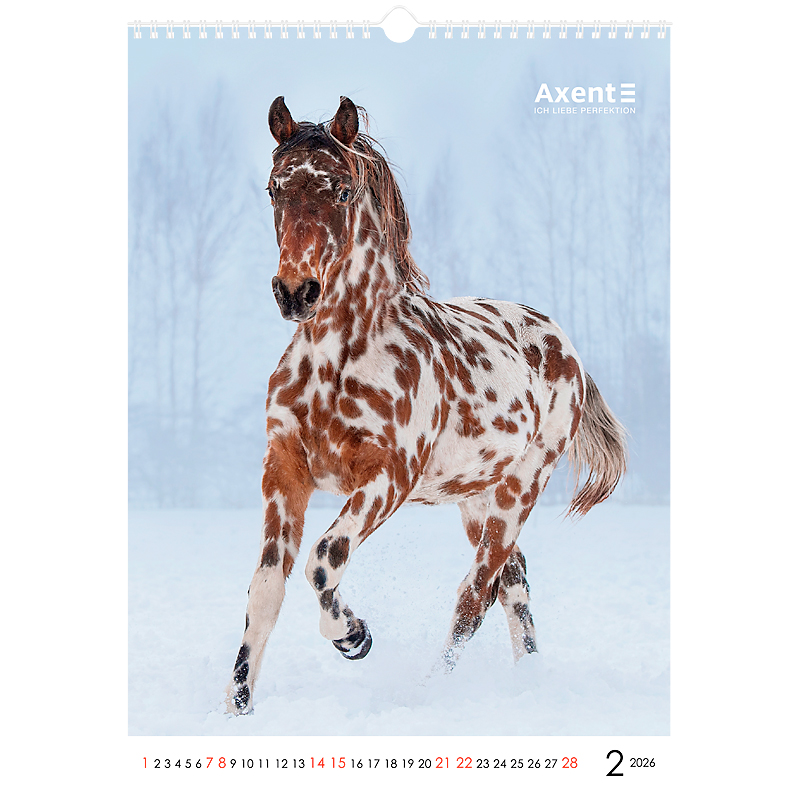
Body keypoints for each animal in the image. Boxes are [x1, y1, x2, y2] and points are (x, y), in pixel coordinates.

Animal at [225, 96, 627, 714]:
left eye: (343, 190)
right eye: (274, 188)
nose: (296, 291)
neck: (338, 362)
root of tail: (564, 343)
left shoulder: (388, 476)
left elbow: (324, 559)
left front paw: (354, 636)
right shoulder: (285, 470)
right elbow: (266, 590)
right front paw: (236, 707)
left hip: (519, 491)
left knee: (474, 595)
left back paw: (430, 690)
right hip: (476, 499)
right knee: (512, 581)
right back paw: (526, 677)